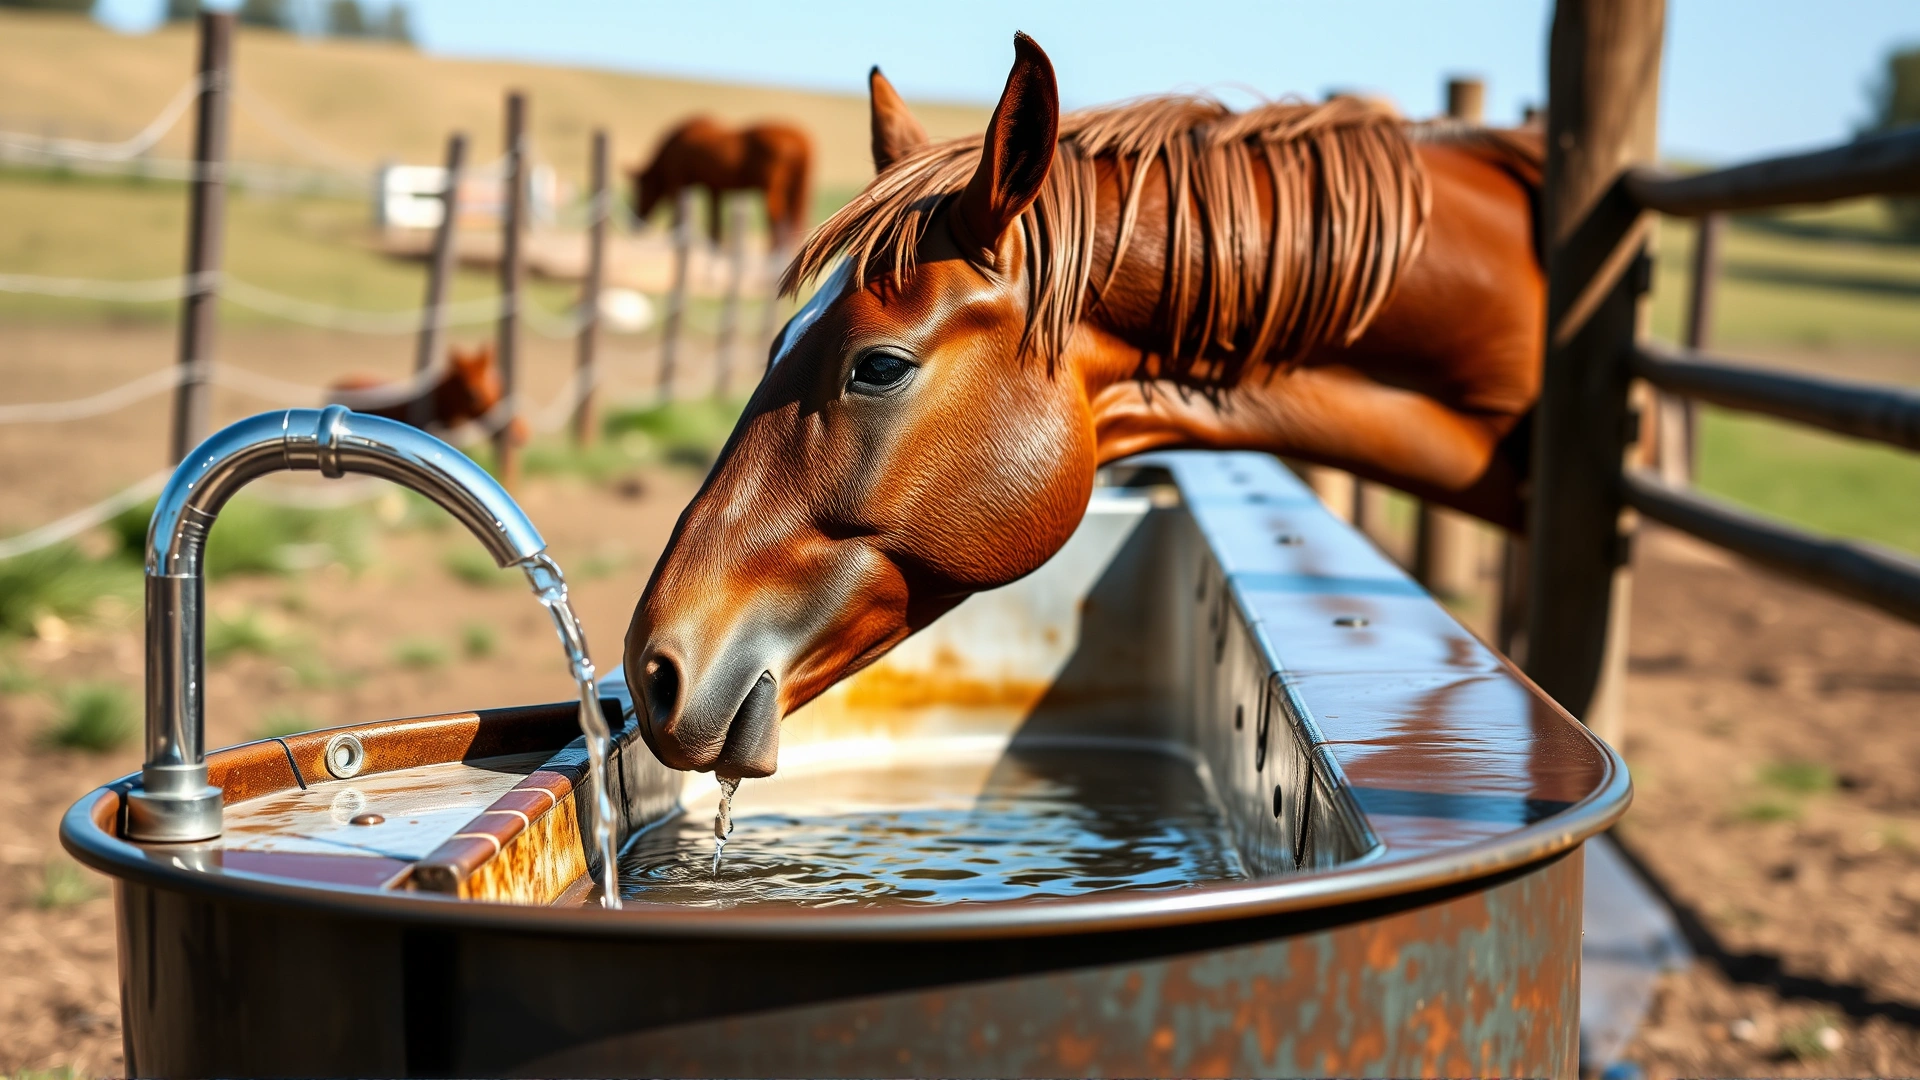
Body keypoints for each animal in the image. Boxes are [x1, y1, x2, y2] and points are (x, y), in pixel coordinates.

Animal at [629, 116, 814, 250]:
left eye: (640, 189)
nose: (635, 223)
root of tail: (798, 140)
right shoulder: (714, 188)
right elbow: (714, 225)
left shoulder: (677, 182)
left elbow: (677, 218)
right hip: (791, 191)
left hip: (772, 191)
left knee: (776, 222)